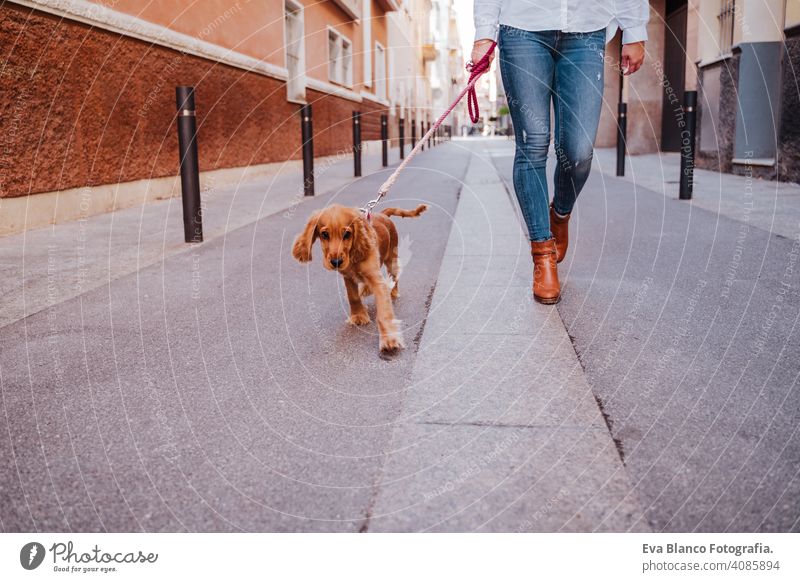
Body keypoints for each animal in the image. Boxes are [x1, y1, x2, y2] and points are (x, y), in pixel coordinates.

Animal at [292, 203, 428, 354]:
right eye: (324, 234)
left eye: (347, 234)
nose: (336, 262)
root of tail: (383, 214)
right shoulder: (347, 276)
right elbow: (353, 297)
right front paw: (358, 316)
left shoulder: (377, 280)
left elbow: (384, 312)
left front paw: (389, 340)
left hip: (391, 258)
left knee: (394, 276)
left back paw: (393, 292)